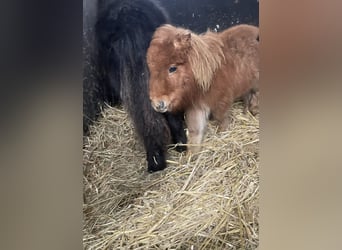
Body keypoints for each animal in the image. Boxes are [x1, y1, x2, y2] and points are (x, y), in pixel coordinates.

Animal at [148, 23, 260, 152]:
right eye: (151, 69)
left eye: (172, 68)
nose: (157, 104)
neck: (210, 76)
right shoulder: (197, 107)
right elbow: (195, 131)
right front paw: (192, 154)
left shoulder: (222, 103)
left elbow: (221, 120)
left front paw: (222, 133)